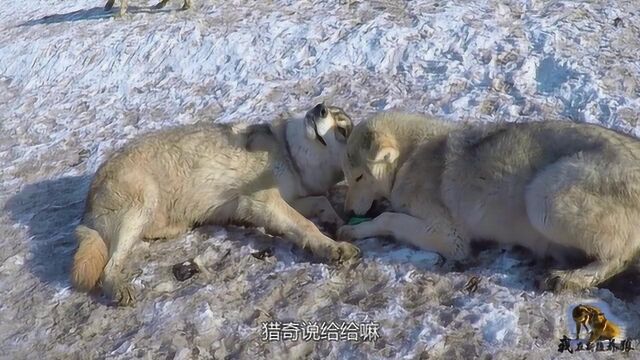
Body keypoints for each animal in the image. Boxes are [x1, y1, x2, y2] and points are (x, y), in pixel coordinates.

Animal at [71, 102, 360, 306]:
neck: (291, 155)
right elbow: (307, 226)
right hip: (142, 203)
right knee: (108, 269)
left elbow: (321, 202)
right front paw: (334, 248)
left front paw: (335, 222)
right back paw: (120, 289)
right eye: (331, 115)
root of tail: (86, 214)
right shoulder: (262, 202)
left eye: (342, 130)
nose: (319, 107)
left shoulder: (288, 199)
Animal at [338, 112, 640, 292]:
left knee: (621, 256)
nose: (346, 211)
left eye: (359, 177)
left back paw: (571, 278)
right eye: (347, 177)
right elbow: (388, 214)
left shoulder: (452, 238)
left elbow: (387, 218)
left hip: (544, 198)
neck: (409, 158)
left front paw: (352, 230)